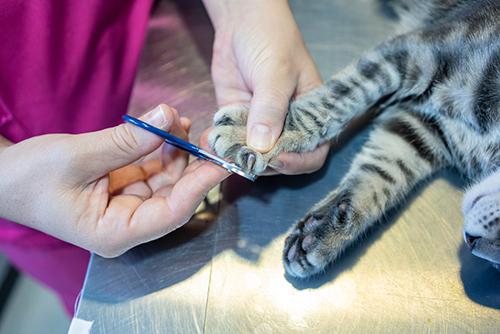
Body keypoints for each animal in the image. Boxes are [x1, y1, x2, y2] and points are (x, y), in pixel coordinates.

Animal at [208, 0, 500, 276]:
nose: (472, 242)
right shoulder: (419, 51)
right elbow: (335, 100)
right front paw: (254, 135)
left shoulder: (420, 129)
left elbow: (378, 177)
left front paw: (323, 232)